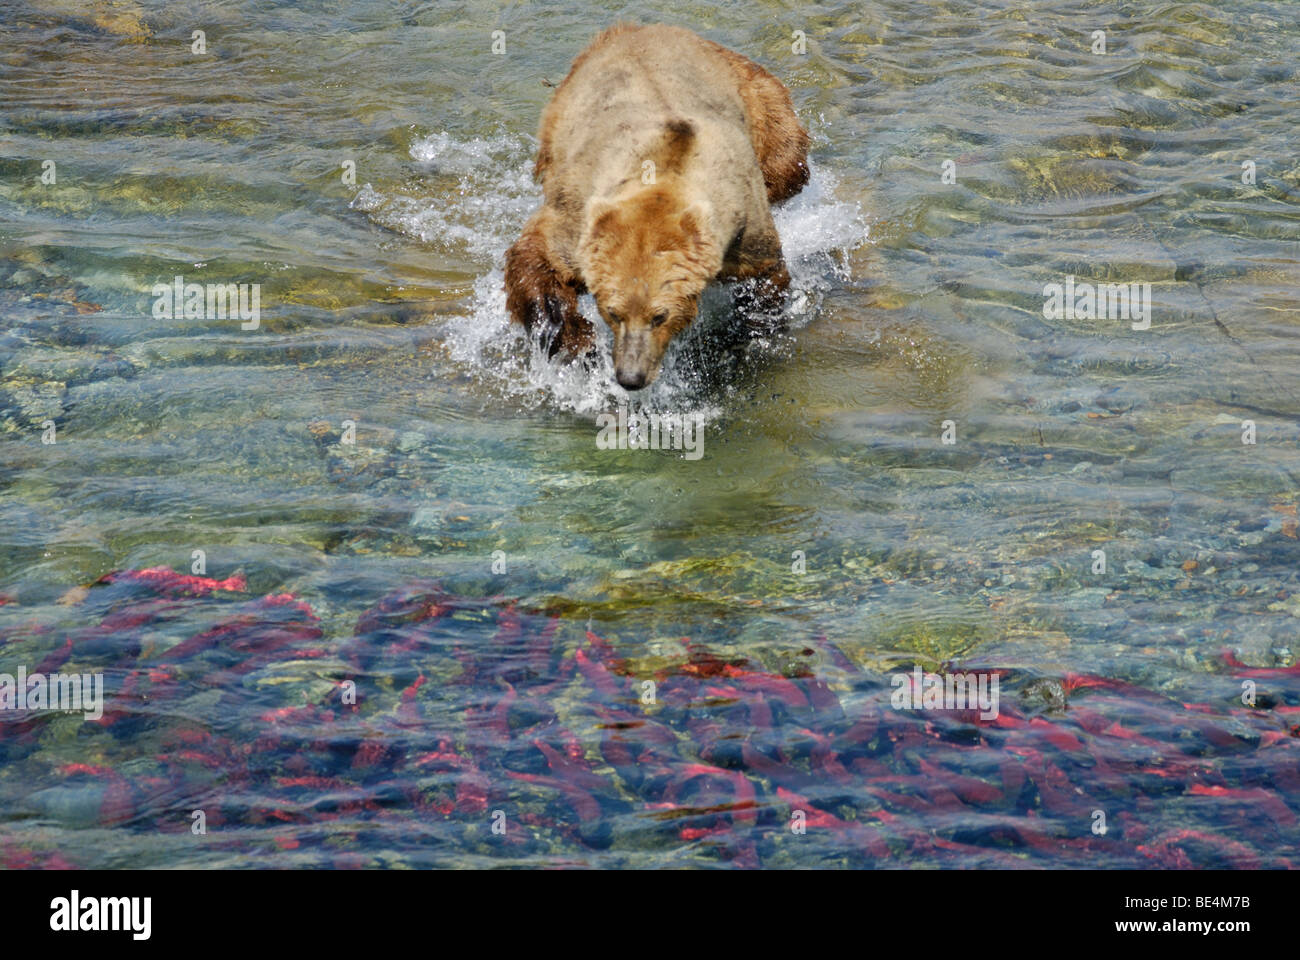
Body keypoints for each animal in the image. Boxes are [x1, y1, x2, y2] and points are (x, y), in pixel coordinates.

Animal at [501, 23, 806, 390]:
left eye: (660, 315)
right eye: (613, 311)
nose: (631, 376)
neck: (664, 175)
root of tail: (641, 27)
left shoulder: (742, 225)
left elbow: (765, 277)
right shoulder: (580, 219)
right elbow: (538, 260)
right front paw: (573, 343)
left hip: (757, 98)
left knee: (787, 166)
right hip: (558, 120)